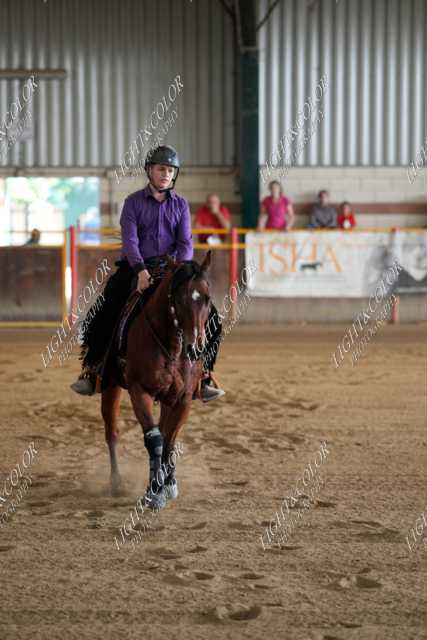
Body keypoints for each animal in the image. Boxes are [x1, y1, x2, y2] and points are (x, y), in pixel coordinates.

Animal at [101, 251, 212, 509]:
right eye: (179, 300)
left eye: (207, 298)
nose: (195, 347)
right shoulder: (139, 391)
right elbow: (155, 440)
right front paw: (153, 492)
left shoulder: (183, 399)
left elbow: (169, 440)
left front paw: (167, 485)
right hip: (111, 385)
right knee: (112, 431)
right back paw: (116, 482)